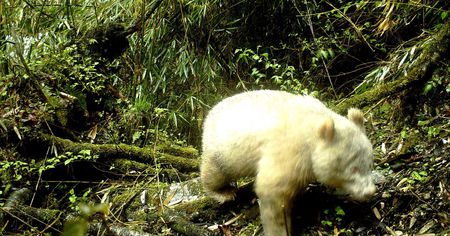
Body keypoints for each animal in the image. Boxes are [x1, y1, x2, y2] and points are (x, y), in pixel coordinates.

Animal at [200, 89, 376, 235]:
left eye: (370, 165)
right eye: (353, 168)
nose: (370, 192)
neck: (312, 128)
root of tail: (210, 113)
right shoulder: (289, 150)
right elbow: (272, 192)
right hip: (222, 150)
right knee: (215, 172)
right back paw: (224, 192)